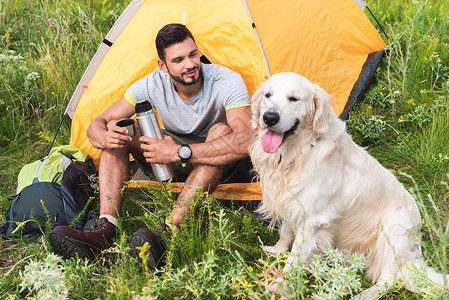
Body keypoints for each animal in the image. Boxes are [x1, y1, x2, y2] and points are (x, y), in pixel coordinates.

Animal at [250, 72, 446, 298]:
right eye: (268, 95)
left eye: (294, 98)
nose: (269, 117)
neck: (300, 152)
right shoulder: (290, 203)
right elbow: (285, 232)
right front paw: (277, 250)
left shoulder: (311, 221)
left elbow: (294, 260)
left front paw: (280, 285)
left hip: (393, 229)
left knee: (389, 280)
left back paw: (364, 294)